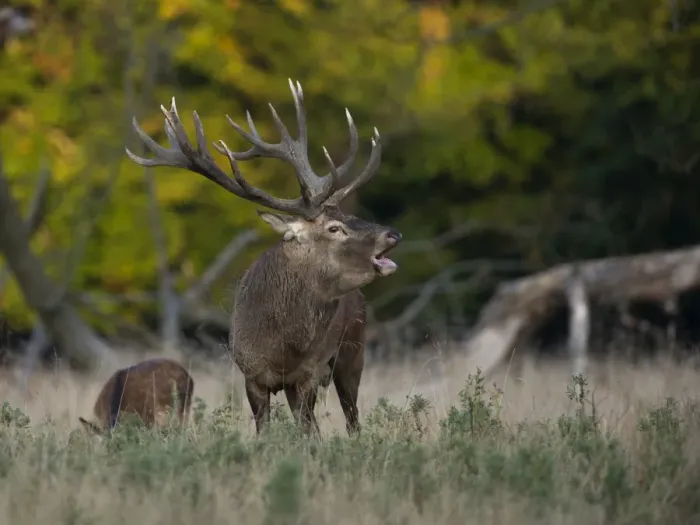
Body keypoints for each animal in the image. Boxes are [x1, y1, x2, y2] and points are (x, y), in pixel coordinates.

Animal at [126, 79, 402, 436]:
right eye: (335, 227)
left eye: (349, 218)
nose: (393, 234)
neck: (282, 346)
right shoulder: (251, 374)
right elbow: (266, 431)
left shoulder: (308, 373)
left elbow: (308, 433)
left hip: (352, 352)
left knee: (352, 418)